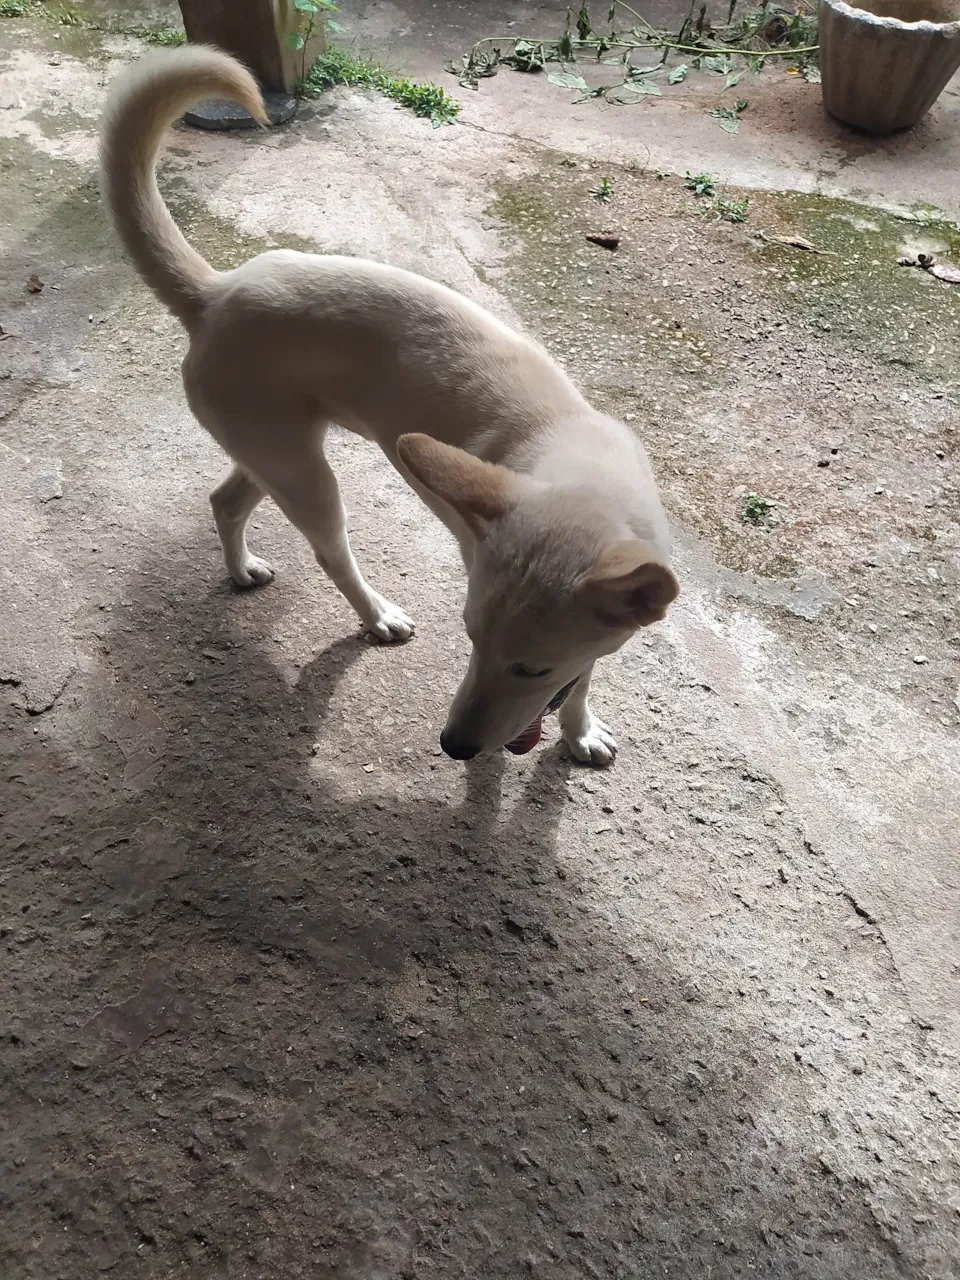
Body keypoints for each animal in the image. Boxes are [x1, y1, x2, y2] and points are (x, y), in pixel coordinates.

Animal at [100, 46, 679, 767]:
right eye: (470, 637)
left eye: (532, 667)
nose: (453, 746)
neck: (571, 461)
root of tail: (215, 292)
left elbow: (583, 677)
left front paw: (578, 730)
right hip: (305, 477)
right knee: (329, 551)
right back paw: (375, 615)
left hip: (270, 456)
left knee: (225, 501)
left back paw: (240, 570)